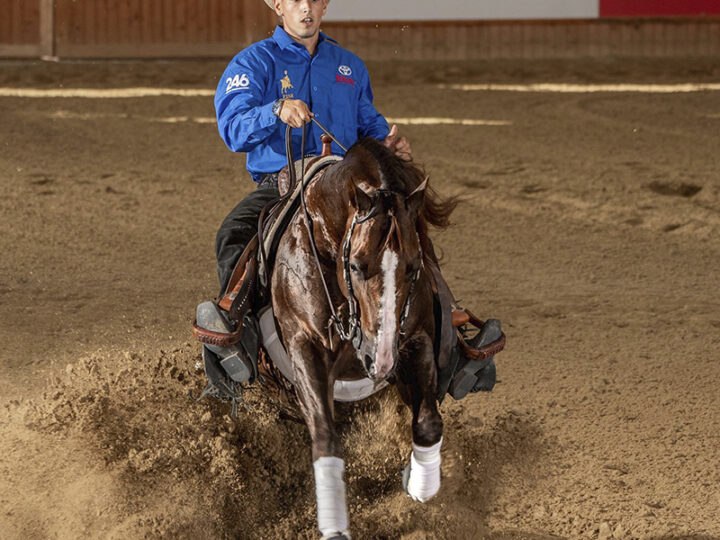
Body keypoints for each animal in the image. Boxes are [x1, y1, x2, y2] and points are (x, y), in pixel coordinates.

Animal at [270, 138, 456, 540]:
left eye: (413, 267)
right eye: (355, 264)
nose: (380, 359)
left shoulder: (415, 339)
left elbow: (428, 422)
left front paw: (420, 487)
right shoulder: (304, 346)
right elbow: (325, 436)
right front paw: (335, 525)